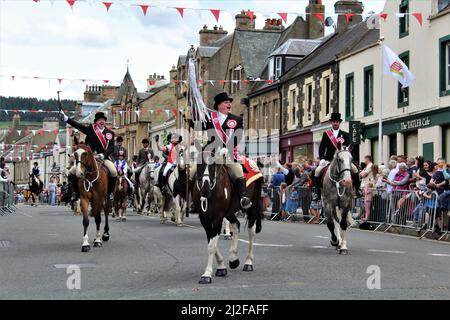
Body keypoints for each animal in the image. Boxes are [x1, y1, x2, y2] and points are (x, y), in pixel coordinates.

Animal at [192, 151, 264, 284]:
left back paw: (248, 262)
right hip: (229, 212)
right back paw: (234, 259)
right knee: (236, 225)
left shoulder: (218, 217)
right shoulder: (204, 218)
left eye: (213, 166)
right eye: (199, 165)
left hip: (253, 206)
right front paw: (221, 267)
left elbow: (212, 246)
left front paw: (207, 275)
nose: (205, 189)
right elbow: (211, 242)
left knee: (251, 232)